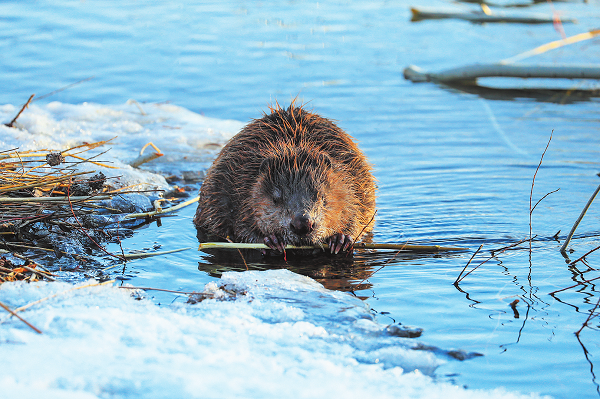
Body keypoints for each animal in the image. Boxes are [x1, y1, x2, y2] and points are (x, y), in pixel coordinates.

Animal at [193, 101, 376, 255]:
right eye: (275, 199)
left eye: (323, 197)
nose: (303, 224)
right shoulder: (235, 184)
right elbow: (240, 227)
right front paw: (272, 240)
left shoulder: (353, 183)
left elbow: (354, 214)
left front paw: (340, 239)